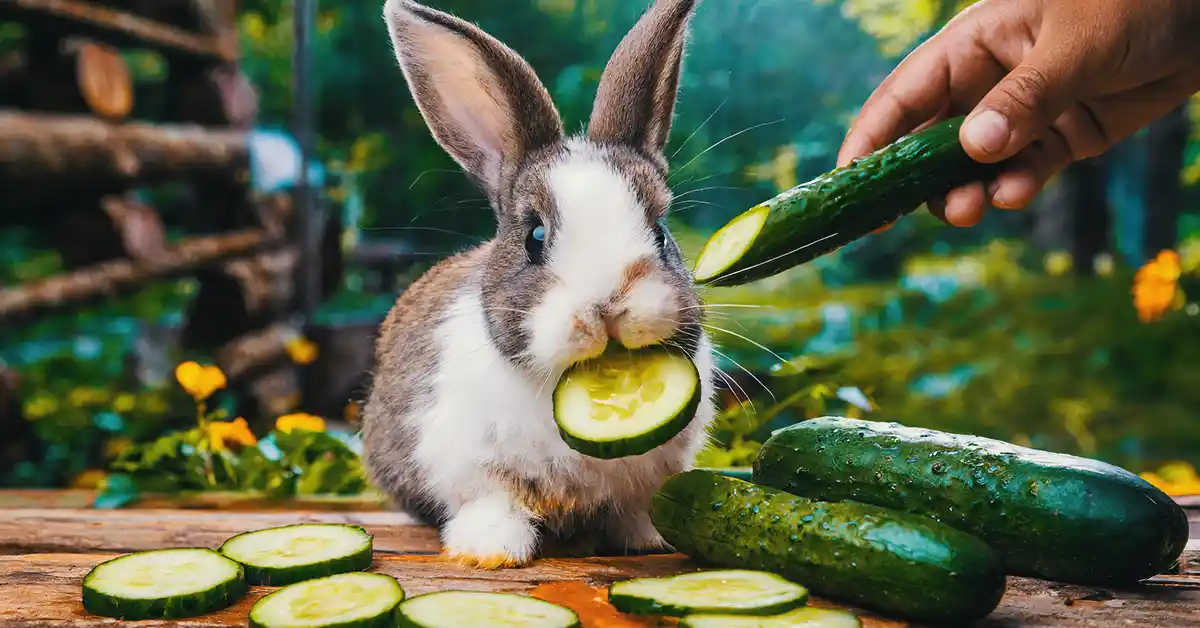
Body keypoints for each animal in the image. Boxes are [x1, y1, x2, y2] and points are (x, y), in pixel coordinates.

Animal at [360, 0, 715, 569]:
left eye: (660, 233)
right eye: (535, 237)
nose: (608, 304)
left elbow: (635, 508)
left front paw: (647, 539)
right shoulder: (468, 463)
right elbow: (492, 500)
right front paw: (490, 550)